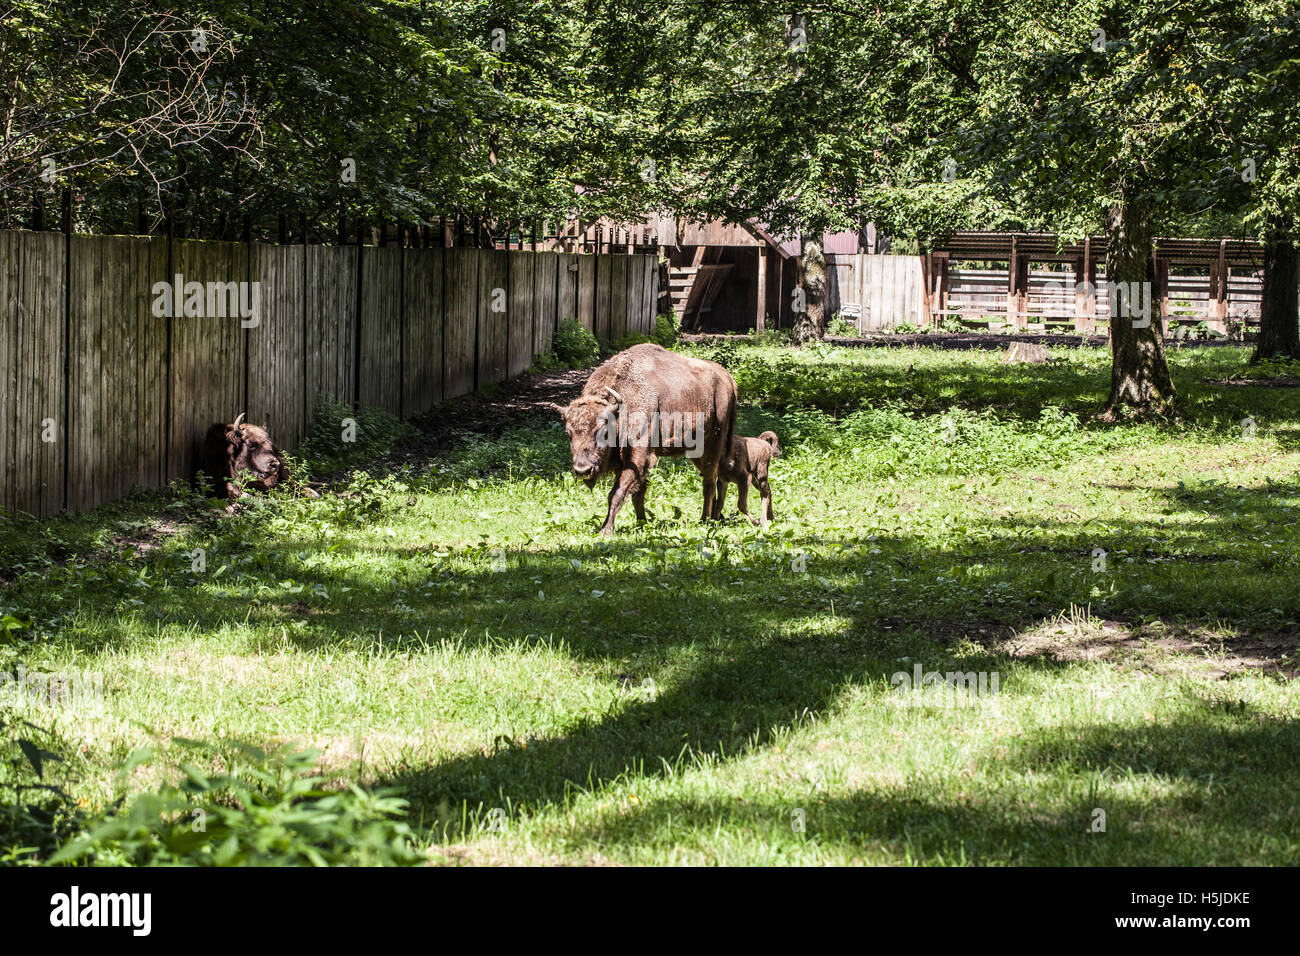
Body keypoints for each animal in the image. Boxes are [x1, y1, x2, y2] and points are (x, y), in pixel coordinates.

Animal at [556, 343, 743, 538]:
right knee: (719, 477)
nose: (582, 470)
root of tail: (727, 378)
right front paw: (641, 524)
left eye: (602, 431)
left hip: (714, 441)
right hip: (696, 450)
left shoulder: (638, 456)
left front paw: (605, 530)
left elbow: (617, 492)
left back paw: (705, 519)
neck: (621, 408)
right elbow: (638, 493)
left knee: (709, 480)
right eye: (569, 433)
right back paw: (716, 516)